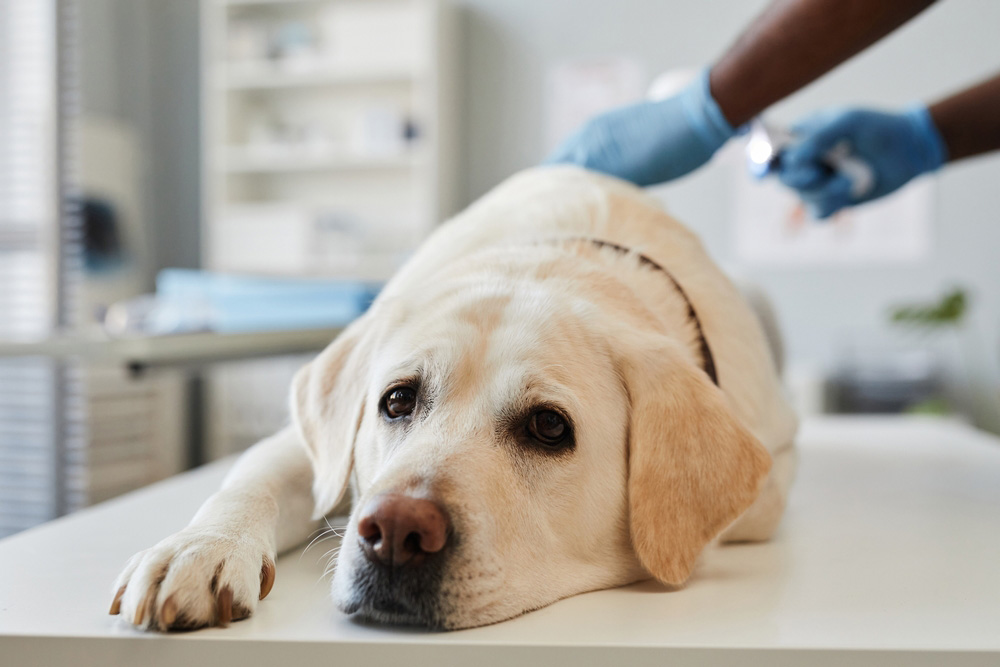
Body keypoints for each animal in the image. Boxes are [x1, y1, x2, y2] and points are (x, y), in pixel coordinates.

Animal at [109, 166, 796, 632]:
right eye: (395, 401)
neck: (555, 257)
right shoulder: (308, 449)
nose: (394, 530)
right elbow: (250, 481)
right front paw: (200, 550)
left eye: (550, 428)